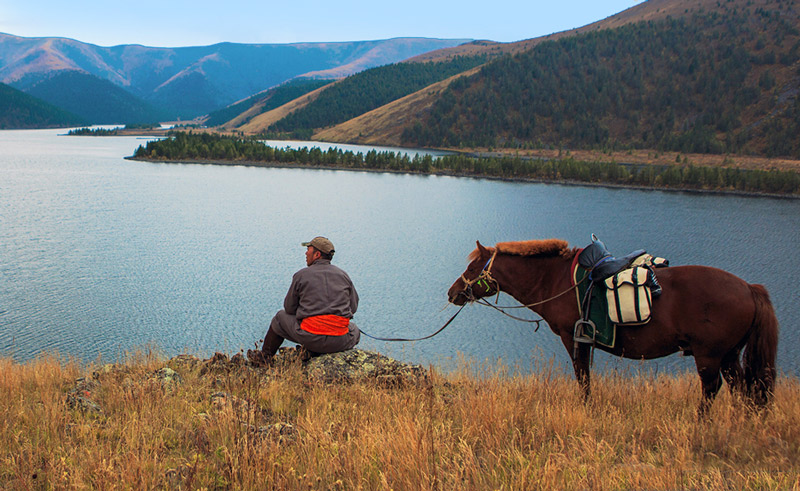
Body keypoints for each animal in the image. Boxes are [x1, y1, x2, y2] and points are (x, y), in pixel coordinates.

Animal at [450, 240, 780, 414]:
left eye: (471, 268)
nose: (452, 293)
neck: (554, 280)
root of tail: (749, 288)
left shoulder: (574, 336)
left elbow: (582, 375)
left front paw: (586, 406)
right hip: (729, 354)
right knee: (742, 387)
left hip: (709, 355)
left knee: (712, 388)